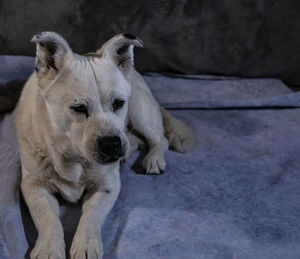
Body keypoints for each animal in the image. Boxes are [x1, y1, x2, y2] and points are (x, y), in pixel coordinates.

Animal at [14, 31, 195, 258]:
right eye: (79, 108)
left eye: (118, 103)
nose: (112, 144)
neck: (74, 158)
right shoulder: (33, 185)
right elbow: (47, 217)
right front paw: (49, 247)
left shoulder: (107, 185)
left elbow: (91, 214)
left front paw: (85, 243)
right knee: (133, 140)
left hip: (139, 111)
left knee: (158, 139)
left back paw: (154, 159)